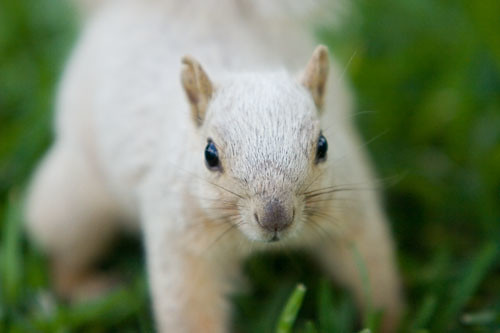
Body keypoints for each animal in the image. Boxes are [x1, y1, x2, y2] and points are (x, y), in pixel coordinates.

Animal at [25, 0, 404, 330]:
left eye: (323, 146)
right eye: (210, 155)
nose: (275, 218)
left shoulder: (350, 210)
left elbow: (371, 270)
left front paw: (388, 324)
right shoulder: (180, 240)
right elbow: (189, 308)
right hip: (76, 201)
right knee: (66, 252)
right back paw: (87, 287)